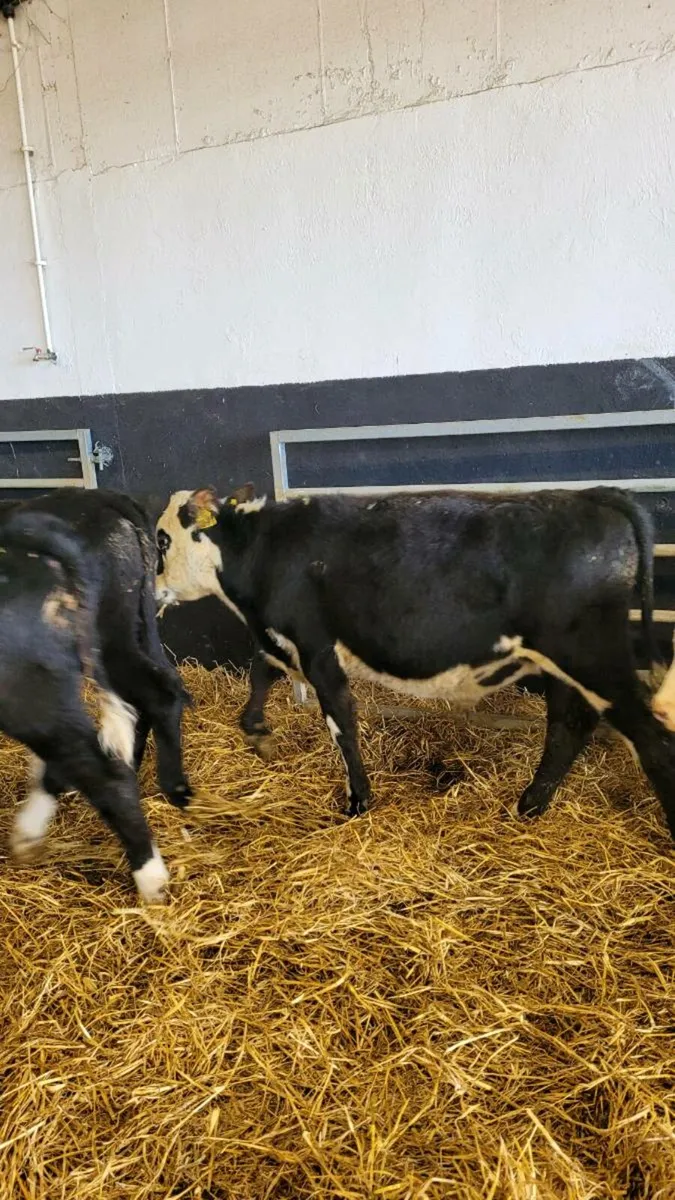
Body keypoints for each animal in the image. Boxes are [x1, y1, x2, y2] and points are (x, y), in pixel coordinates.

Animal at [3, 489, 193, 901]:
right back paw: (173, 788)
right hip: (121, 633)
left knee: (100, 766)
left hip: (28, 692)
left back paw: (151, 881)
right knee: (161, 692)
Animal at [155, 484, 675, 841]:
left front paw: (358, 802)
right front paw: (258, 734)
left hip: (592, 658)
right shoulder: (282, 639)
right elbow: (260, 672)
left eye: (161, 541)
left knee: (652, 741)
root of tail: (589, 495)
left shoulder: (317, 648)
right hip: (566, 665)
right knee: (569, 726)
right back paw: (529, 805)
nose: (150, 588)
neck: (265, 551)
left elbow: (342, 726)